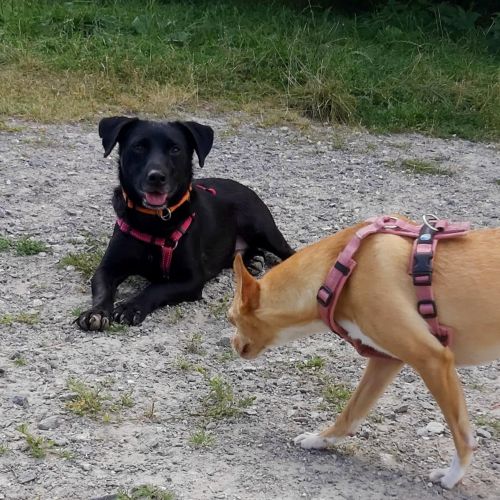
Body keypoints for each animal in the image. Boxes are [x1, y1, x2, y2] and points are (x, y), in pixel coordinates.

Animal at [76, 116, 294, 331]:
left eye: (175, 149)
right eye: (138, 147)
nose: (156, 177)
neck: (153, 221)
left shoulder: (191, 280)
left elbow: (155, 287)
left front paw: (131, 306)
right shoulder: (107, 268)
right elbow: (102, 290)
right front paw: (96, 312)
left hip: (262, 229)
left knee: (289, 252)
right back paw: (252, 259)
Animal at [229, 216, 500, 489]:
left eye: (231, 319)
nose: (232, 344)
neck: (340, 271)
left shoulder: (433, 359)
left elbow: (463, 436)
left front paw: (453, 476)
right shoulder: (387, 361)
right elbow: (351, 412)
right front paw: (319, 439)